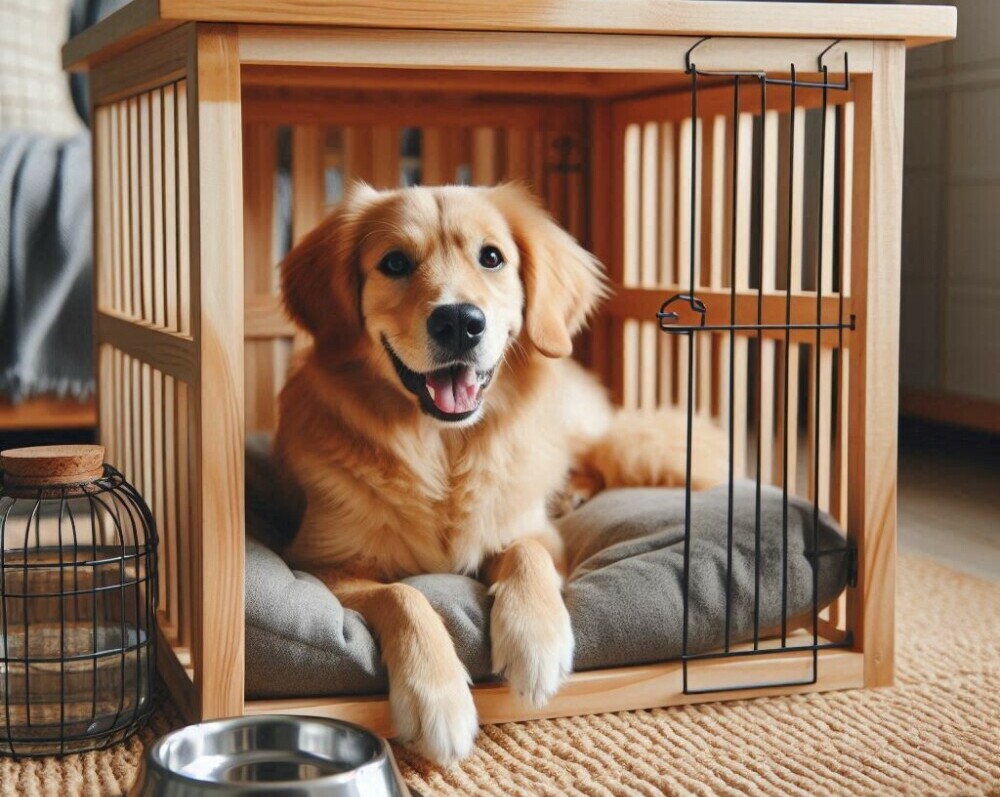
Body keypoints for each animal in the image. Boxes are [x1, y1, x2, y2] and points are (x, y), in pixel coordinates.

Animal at [278, 183, 724, 760]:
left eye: (491, 257)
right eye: (394, 262)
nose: (459, 322)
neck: (443, 452)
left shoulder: (537, 534)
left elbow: (527, 553)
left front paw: (537, 641)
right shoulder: (321, 564)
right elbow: (403, 594)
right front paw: (436, 695)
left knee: (599, 456)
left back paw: (574, 490)